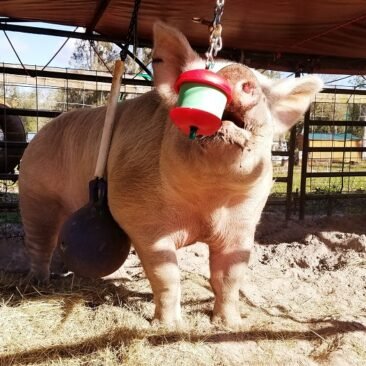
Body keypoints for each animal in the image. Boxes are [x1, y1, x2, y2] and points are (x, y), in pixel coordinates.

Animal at [17, 21, 324, 328]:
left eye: (263, 90)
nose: (236, 73)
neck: (208, 201)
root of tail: (40, 133)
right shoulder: (140, 217)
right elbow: (166, 275)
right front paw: (168, 326)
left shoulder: (245, 221)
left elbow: (229, 276)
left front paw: (229, 325)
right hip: (34, 191)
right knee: (39, 240)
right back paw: (38, 283)